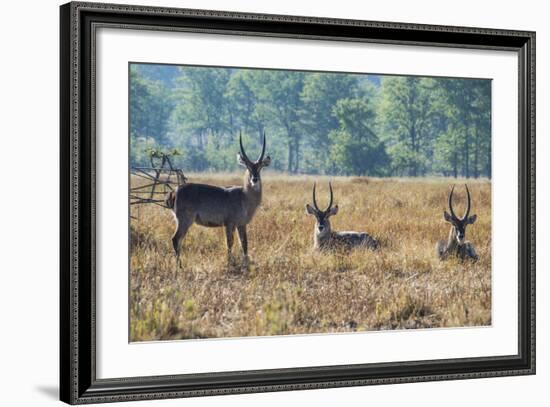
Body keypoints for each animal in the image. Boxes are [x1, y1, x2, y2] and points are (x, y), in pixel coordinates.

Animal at [167, 132, 272, 262]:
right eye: (247, 166)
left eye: (260, 167)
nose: (254, 179)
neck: (244, 196)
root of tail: (175, 191)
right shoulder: (229, 223)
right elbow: (230, 244)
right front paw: (230, 262)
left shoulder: (242, 224)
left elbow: (244, 244)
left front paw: (245, 262)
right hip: (185, 220)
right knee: (175, 239)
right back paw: (179, 265)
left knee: (179, 241)